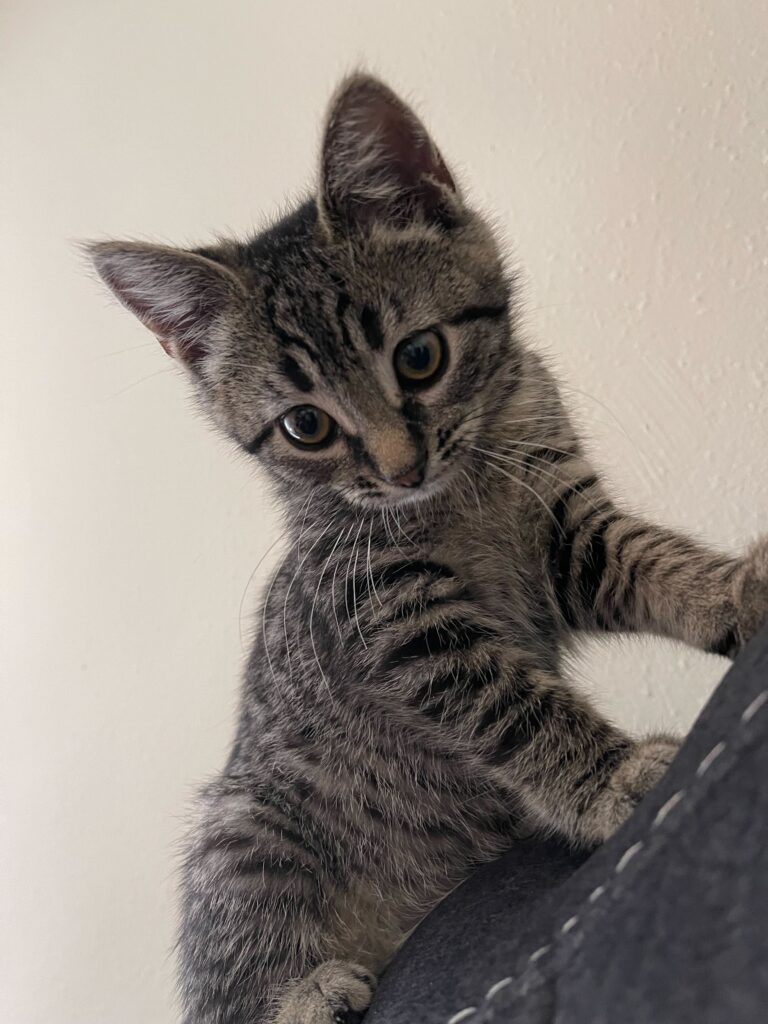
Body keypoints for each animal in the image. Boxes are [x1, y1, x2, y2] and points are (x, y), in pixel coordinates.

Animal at [87, 74, 765, 1024]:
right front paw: (609, 782)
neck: (464, 487)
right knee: (224, 990)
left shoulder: (566, 528)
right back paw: (304, 995)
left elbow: (650, 561)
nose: (402, 468)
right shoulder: (393, 614)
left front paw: (736, 590)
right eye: (305, 427)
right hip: (242, 828)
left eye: (418, 357)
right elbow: (508, 702)